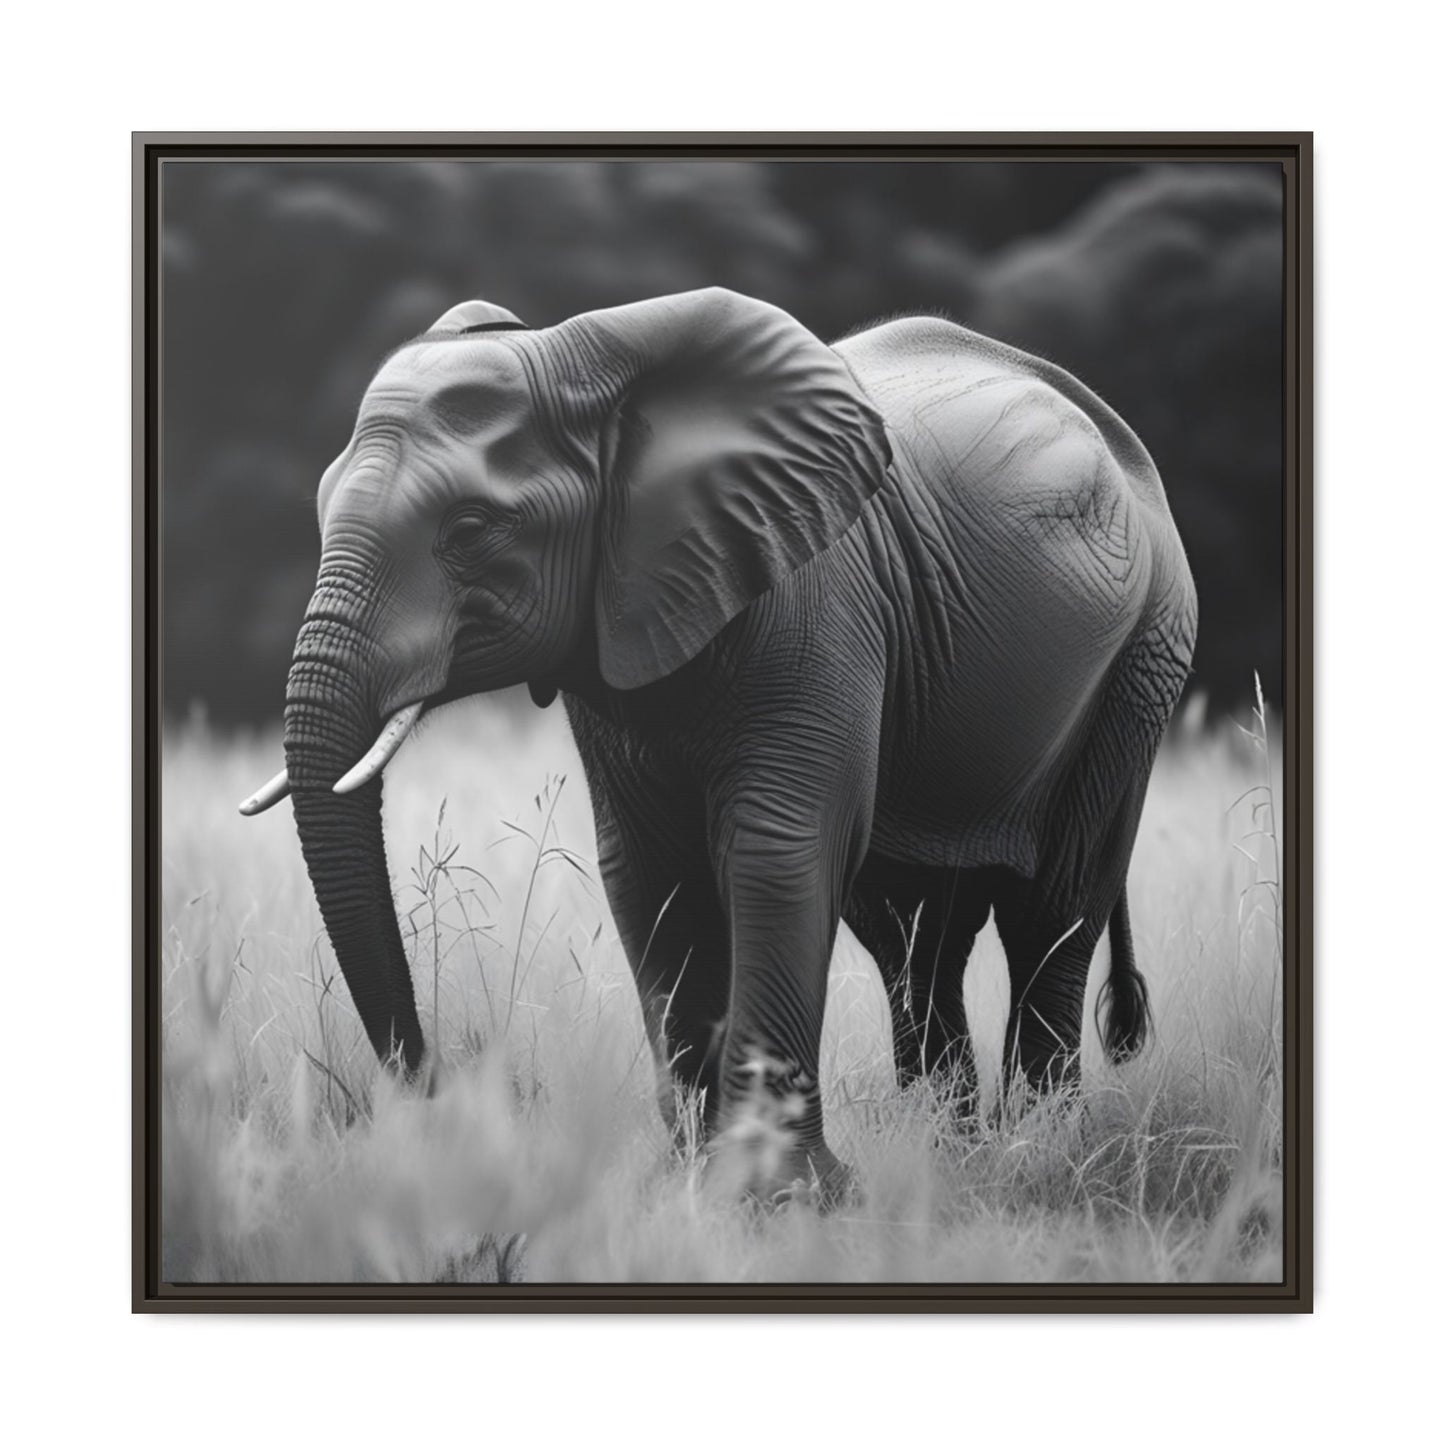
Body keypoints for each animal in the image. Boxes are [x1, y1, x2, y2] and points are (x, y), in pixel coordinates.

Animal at [241, 287, 1197, 1202]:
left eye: (471, 529)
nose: (443, 1099)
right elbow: (646, 870)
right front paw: (691, 1183)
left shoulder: (815, 600)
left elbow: (776, 850)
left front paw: (779, 1198)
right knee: (912, 932)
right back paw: (948, 1149)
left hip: (1143, 657)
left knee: (1053, 907)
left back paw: (1037, 1151)